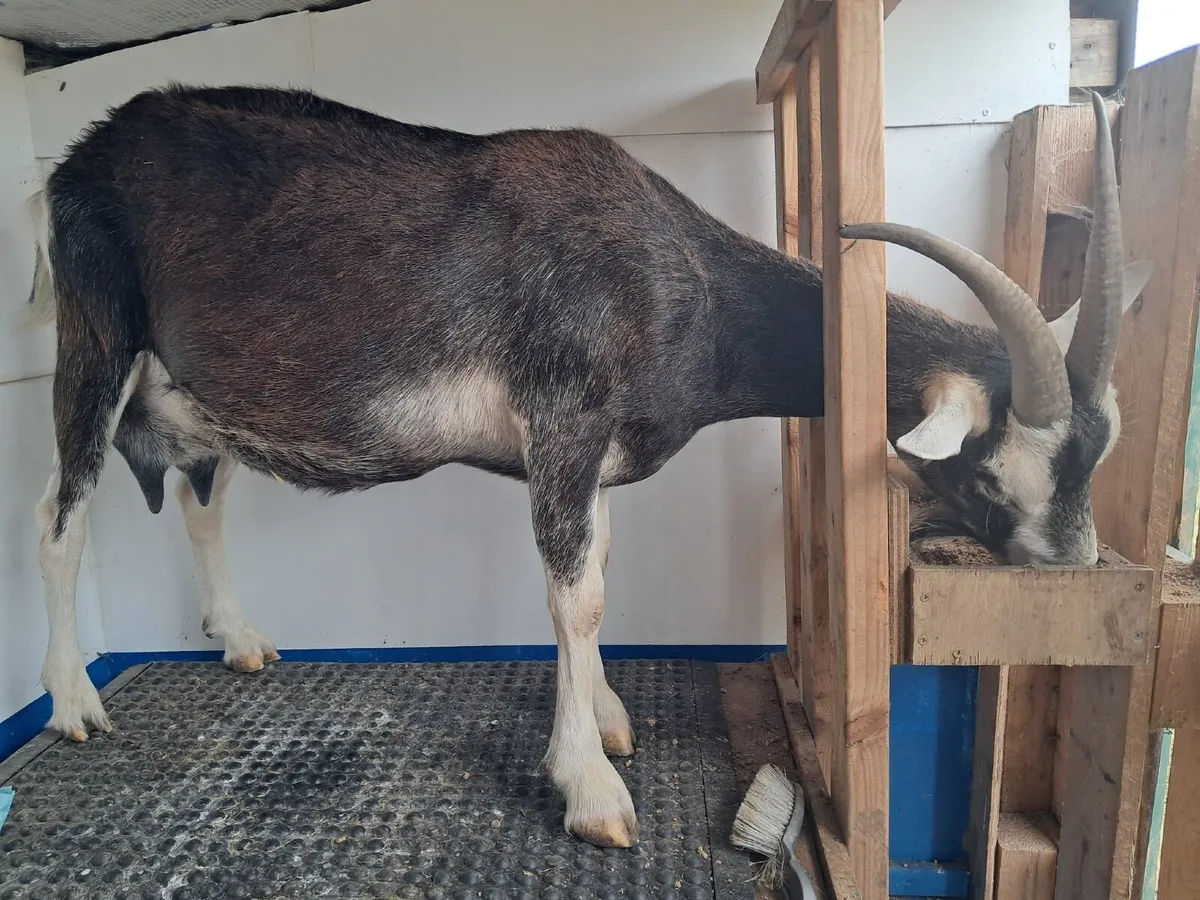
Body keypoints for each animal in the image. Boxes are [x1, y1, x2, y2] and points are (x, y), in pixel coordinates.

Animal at [27, 86, 1147, 848]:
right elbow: (575, 594)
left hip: (192, 394)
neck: (686, 282)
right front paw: (592, 791)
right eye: (997, 478)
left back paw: (241, 640)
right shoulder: (562, 418)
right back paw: (75, 703)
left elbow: (599, 573)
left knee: (198, 495)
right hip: (98, 336)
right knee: (59, 509)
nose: (1074, 569)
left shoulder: (595, 449)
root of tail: (78, 158)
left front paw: (606, 722)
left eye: (1096, 461)